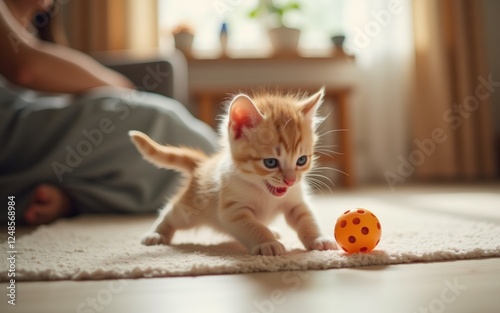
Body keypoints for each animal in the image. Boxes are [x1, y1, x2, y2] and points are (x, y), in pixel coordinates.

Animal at [130, 86, 336, 255]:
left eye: (301, 160)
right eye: (270, 162)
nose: (291, 180)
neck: (265, 193)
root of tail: (203, 165)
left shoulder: (296, 202)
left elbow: (306, 219)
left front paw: (319, 238)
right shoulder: (234, 211)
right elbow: (254, 227)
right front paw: (266, 243)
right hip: (192, 208)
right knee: (171, 214)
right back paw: (156, 234)